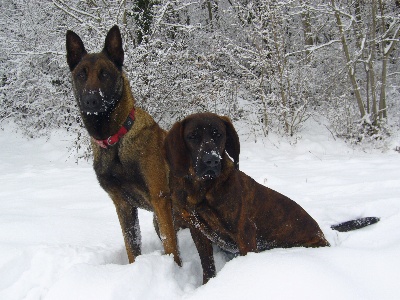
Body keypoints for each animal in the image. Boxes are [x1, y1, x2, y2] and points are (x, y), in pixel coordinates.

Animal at [66, 25, 181, 264]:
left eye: (105, 74)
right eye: (81, 75)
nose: (91, 100)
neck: (115, 140)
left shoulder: (160, 200)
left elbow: (171, 247)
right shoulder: (123, 205)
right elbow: (132, 246)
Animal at [164, 112, 330, 282]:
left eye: (219, 134)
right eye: (192, 136)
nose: (212, 160)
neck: (202, 189)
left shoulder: (244, 233)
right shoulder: (197, 230)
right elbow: (207, 265)